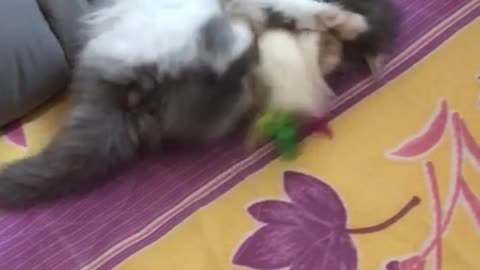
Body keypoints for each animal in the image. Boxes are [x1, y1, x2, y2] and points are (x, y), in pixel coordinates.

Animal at [0, 0, 370, 209]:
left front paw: (337, 34)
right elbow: (298, 5)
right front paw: (342, 24)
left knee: (233, 77)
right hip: (176, 25)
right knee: (229, 43)